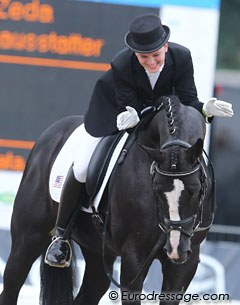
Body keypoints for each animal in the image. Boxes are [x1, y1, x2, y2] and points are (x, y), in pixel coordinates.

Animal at [0, 95, 214, 304]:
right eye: (156, 189)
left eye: (196, 190)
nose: (175, 247)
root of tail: (53, 132)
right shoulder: (134, 255)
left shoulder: (186, 263)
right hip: (28, 237)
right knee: (11, 286)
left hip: (97, 252)